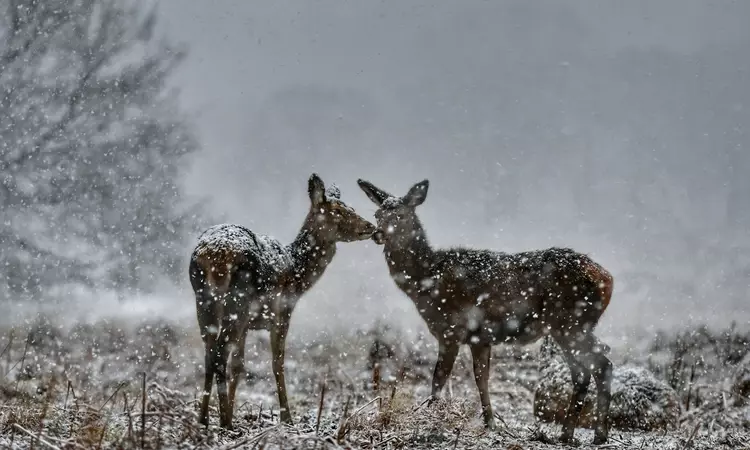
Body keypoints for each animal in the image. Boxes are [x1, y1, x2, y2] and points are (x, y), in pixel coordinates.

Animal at [188, 173, 376, 428]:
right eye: (337, 210)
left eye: (351, 207)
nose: (371, 226)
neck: (297, 274)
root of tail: (215, 255)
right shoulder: (281, 313)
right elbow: (278, 363)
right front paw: (287, 418)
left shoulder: (248, 325)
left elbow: (239, 365)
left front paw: (232, 411)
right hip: (238, 302)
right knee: (219, 353)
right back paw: (224, 421)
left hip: (204, 301)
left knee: (209, 354)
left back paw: (205, 418)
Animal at [358, 178, 616, 444]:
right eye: (377, 214)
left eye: (400, 215)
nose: (377, 234)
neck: (427, 281)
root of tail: (607, 278)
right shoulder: (480, 338)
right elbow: (481, 378)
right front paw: (490, 423)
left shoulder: (451, 329)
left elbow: (439, 377)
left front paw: (430, 418)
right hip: (566, 327)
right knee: (583, 371)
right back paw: (569, 434)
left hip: (571, 322)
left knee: (601, 364)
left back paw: (597, 434)